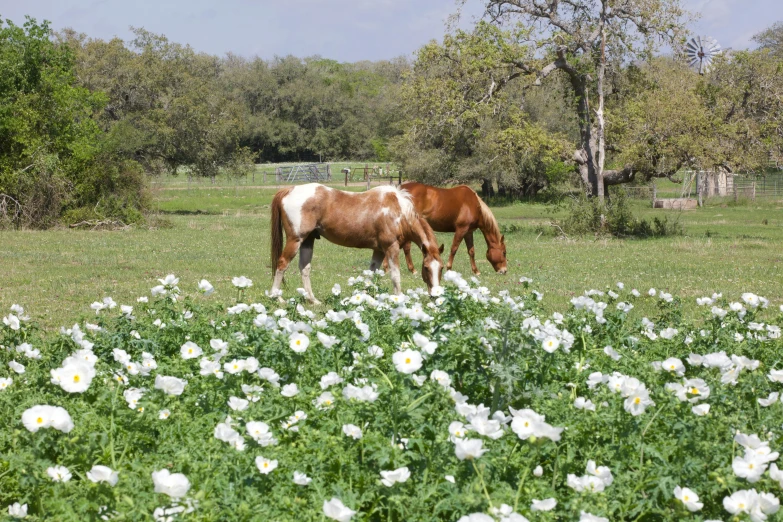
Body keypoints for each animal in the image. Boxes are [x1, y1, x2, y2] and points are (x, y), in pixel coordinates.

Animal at [270, 183, 444, 300]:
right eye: (426, 268)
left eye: (441, 268)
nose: (436, 295)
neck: (398, 211)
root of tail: (289, 190)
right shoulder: (391, 247)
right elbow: (395, 276)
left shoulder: (379, 250)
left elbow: (371, 274)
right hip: (295, 240)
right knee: (282, 264)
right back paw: (277, 297)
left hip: (307, 241)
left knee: (304, 268)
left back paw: (312, 300)